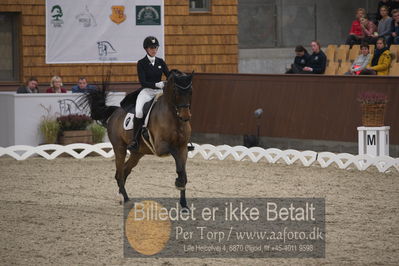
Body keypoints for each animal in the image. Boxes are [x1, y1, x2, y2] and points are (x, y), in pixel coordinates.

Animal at [80, 69, 194, 208]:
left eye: (190, 91)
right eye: (176, 91)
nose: (185, 117)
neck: (174, 117)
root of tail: (115, 111)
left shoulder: (183, 148)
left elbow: (183, 170)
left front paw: (184, 204)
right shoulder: (161, 147)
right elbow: (177, 162)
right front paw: (178, 182)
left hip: (137, 153)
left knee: (124, 171)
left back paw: (122, 197)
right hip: (120, 148)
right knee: (119, 172)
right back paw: (125, 198)